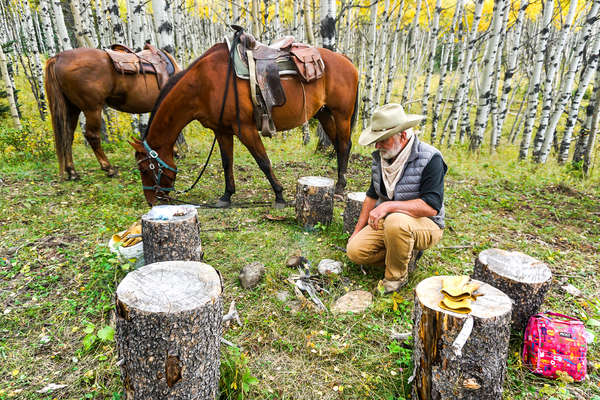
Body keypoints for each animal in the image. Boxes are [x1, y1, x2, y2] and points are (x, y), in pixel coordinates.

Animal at [45, 45, 179, 180]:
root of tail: (59, 57)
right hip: (92, 109)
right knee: (92, 136)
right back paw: (108, 168)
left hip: (73, 109)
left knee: (67, 136)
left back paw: (71, 171)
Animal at [131, 39, 356, 206]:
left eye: (145, 169)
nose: (152, 201)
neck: (203, 85)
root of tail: (345, 59)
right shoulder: (222, 131)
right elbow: (227, 162)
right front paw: (226, 196)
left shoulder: (245, 129)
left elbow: (263, 161)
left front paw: (279, 195)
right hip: (324, 114)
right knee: (338, 145)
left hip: (342, 115)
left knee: (345, 145)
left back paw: (339, 187)